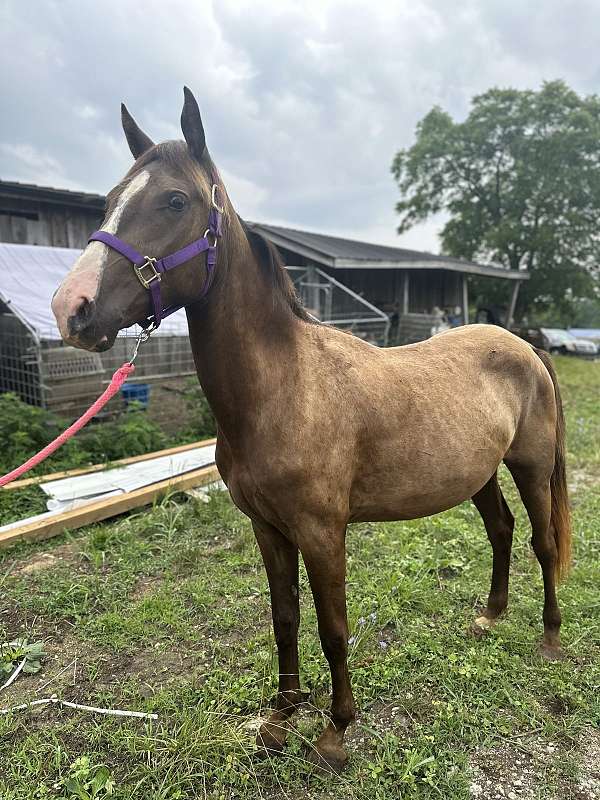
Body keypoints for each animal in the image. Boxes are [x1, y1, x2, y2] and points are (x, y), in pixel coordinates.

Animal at [51, 89, 572, 776]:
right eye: (112, 197)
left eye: (175, 201)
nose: (71, 308)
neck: (284, 390)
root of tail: (525, 346)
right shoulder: (268, 529)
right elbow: (286, 619)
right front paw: (280, 718)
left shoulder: (323, 533)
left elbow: (333, 627)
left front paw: (335, 731)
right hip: (478, 473)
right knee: (501, 530)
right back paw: (489, 618)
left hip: (531, 467)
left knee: (542, 541)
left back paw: (549, 638)